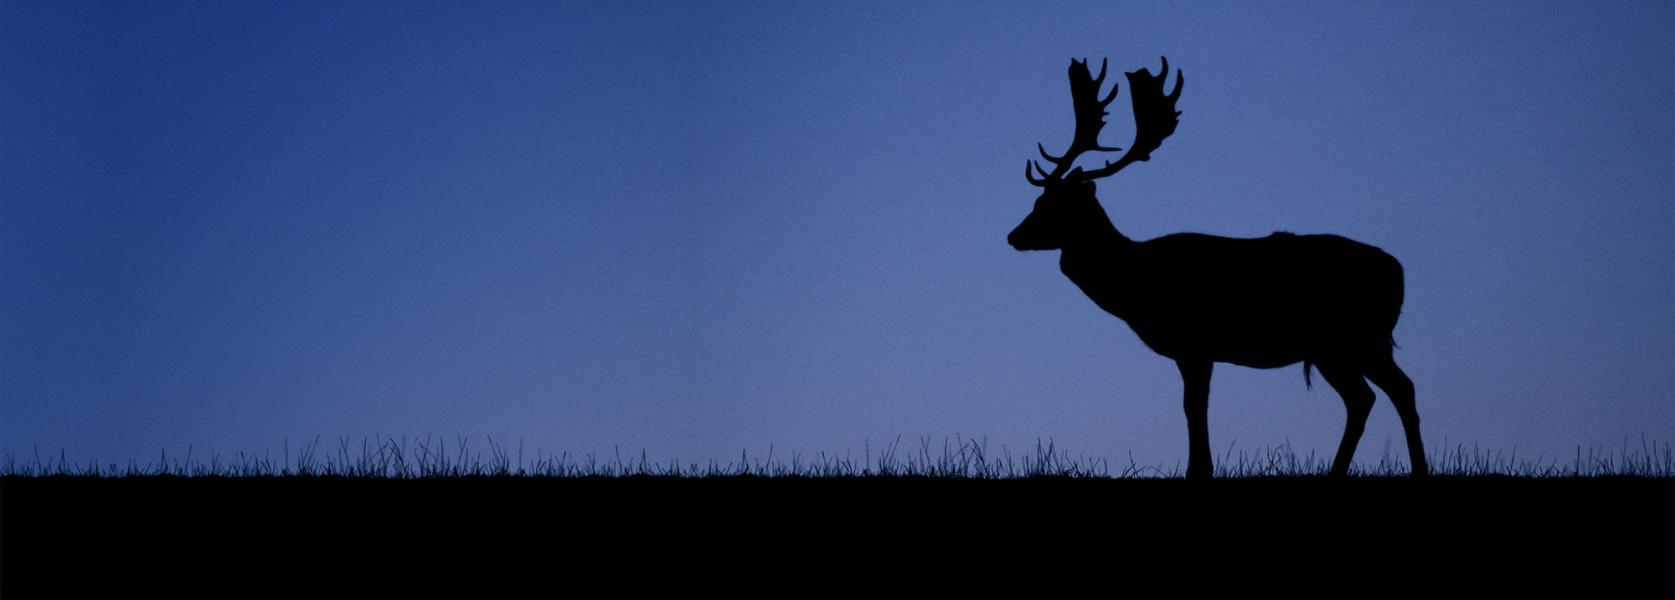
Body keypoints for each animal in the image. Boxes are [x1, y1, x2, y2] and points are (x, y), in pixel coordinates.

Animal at [1005, 56, 1427, 479]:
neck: (1136, 284)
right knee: (1366, 397)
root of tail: (1399, 271)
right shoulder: (1194, 350)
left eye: (1053, 206)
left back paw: (1415, 469)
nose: (1013, 235)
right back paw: (1342, 471)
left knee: (1396, 389)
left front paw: (1199, 471)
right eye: (1038, 201)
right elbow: (1195, 406)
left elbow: (1193, 407)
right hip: (1338, 346)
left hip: (1356, 336)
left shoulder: (1195, 342)